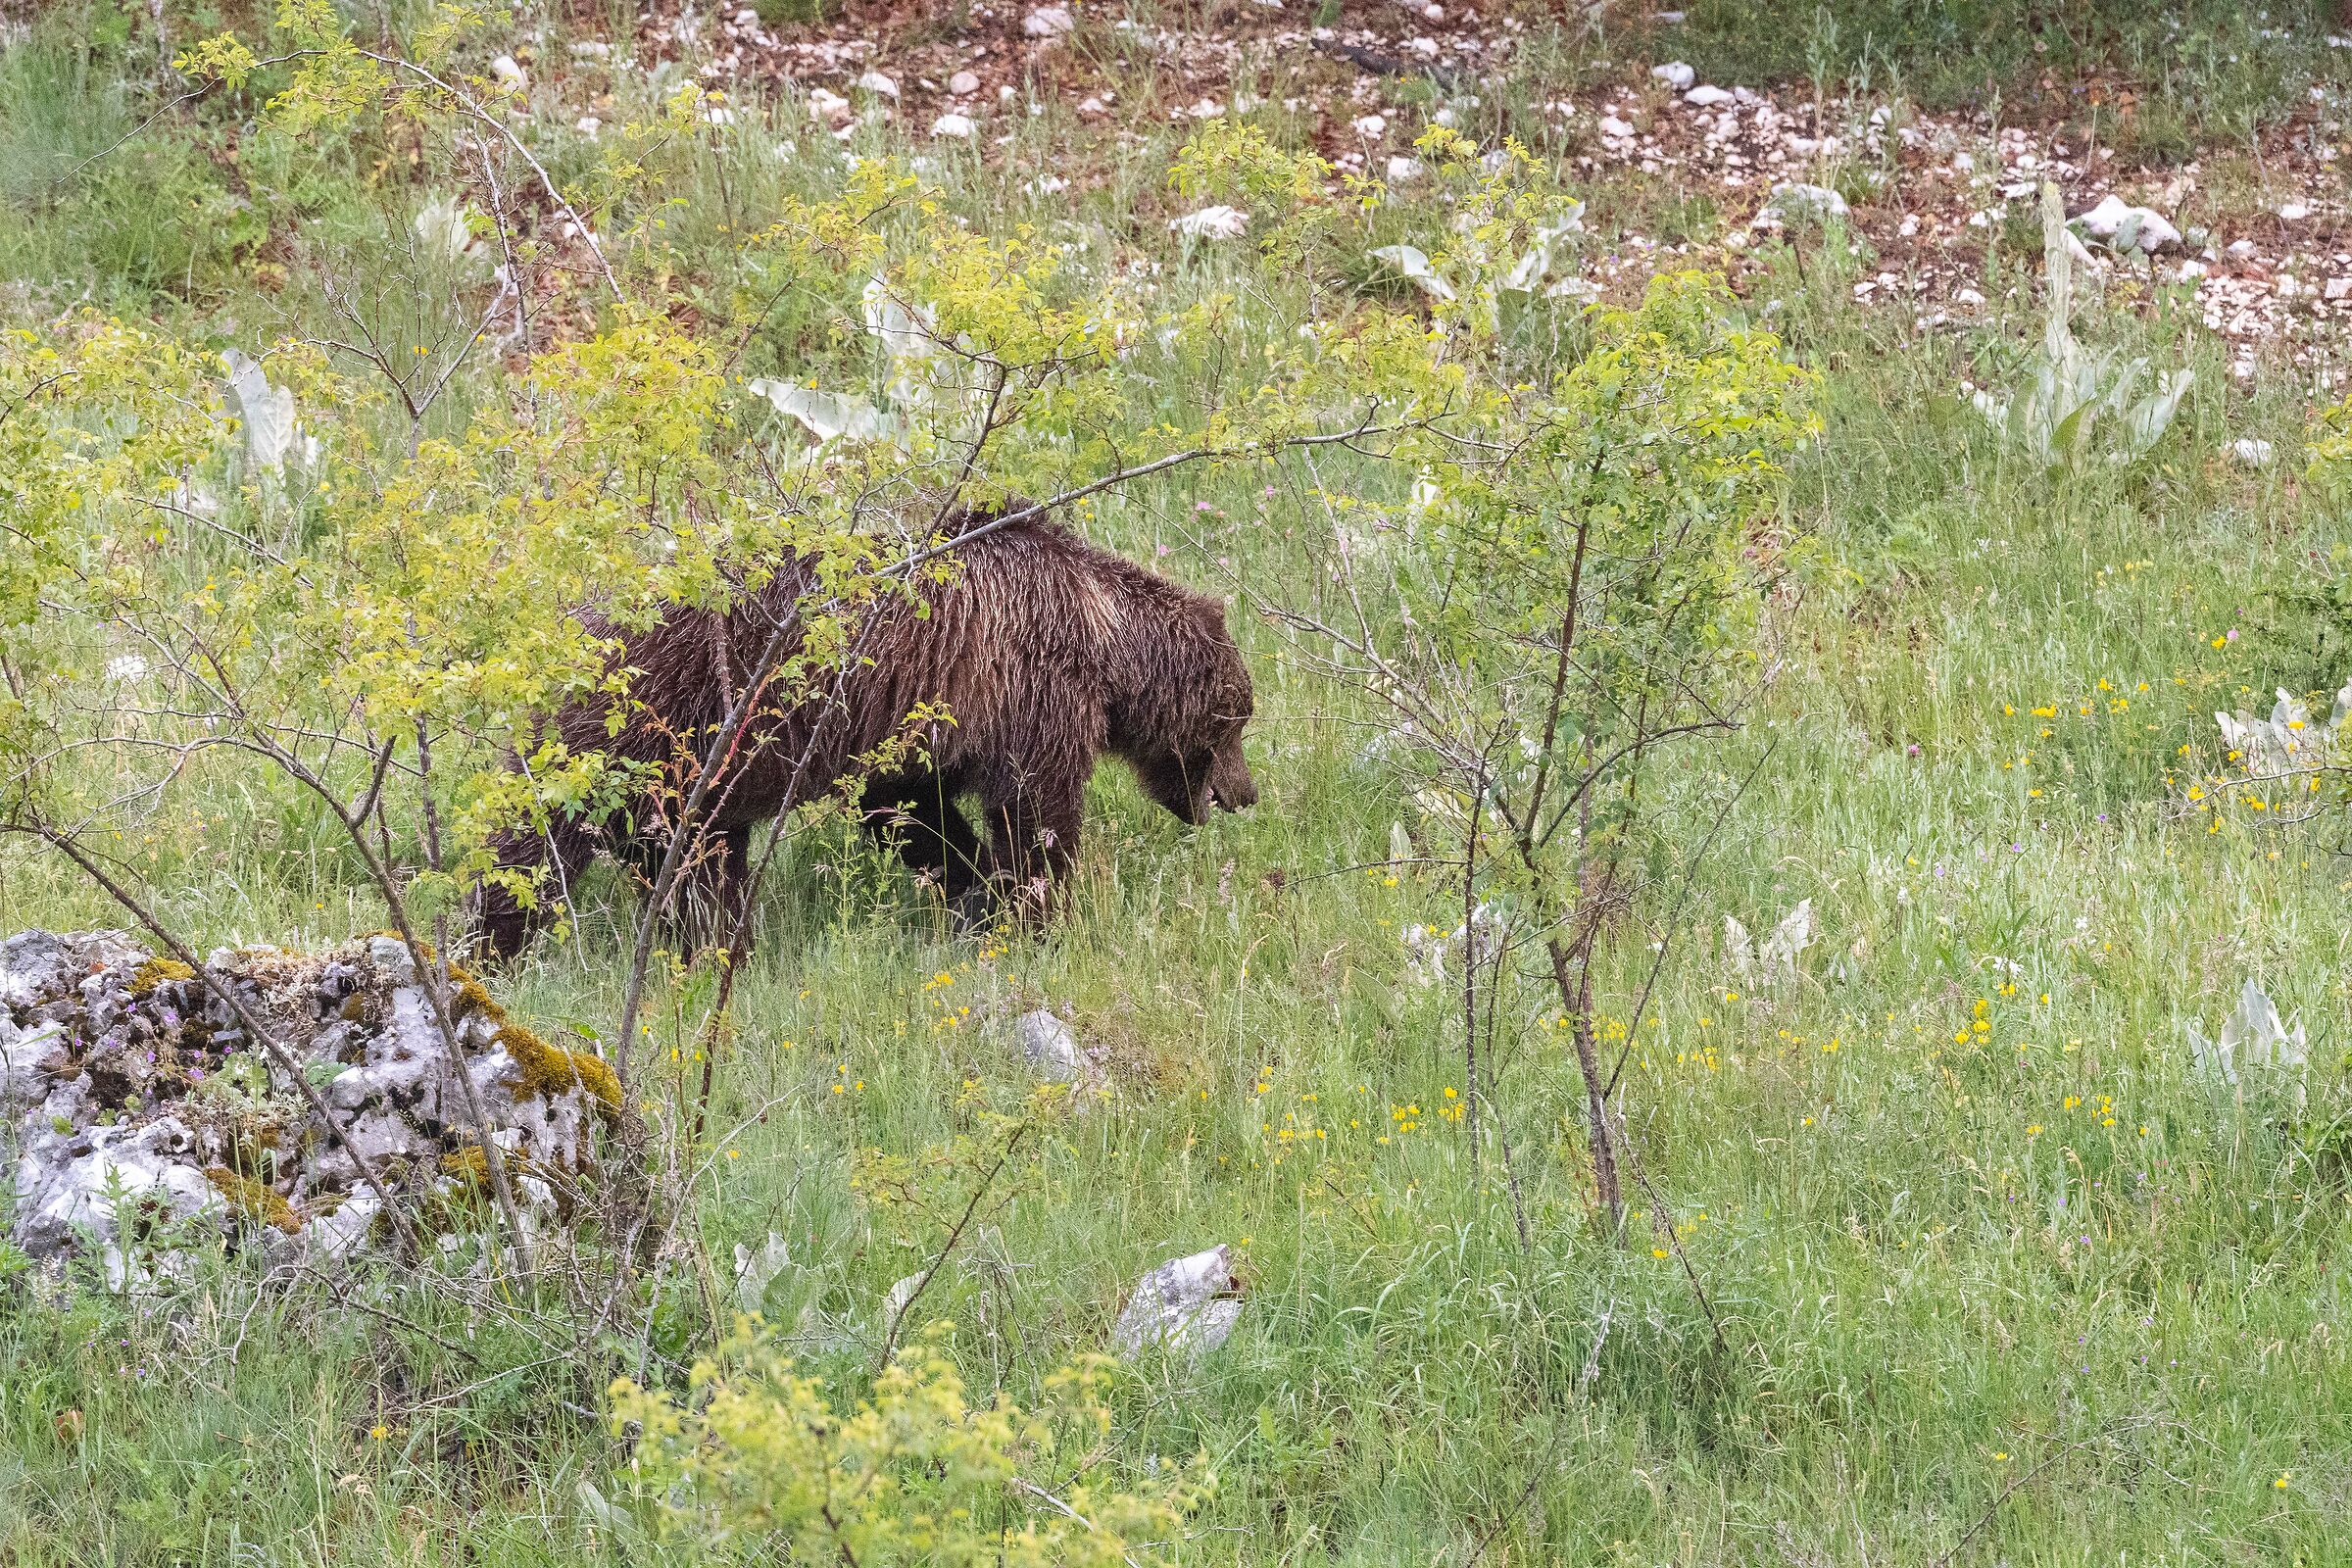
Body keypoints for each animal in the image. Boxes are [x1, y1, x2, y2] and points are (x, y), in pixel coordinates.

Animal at [478, 508, 1258, 956]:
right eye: (1236, 719)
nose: (1247, 794)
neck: (1106, 642)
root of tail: (573, 622)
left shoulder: (926, 722)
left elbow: (908, 807)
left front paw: (975, 886)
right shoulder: (1029, 686)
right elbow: (1037, 809)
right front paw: (1035, 908)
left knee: (684, 852)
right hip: (654, 718)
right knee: (543, 844)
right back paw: (497, 942)